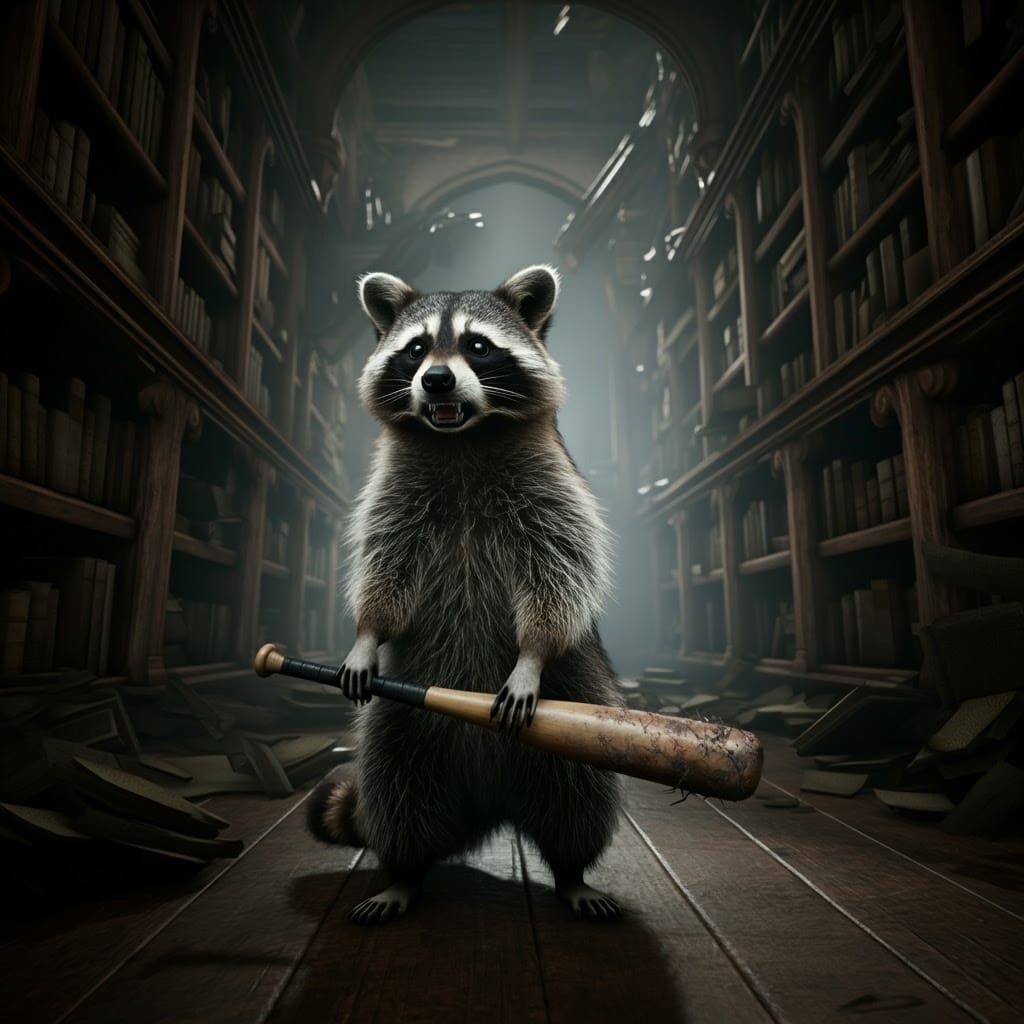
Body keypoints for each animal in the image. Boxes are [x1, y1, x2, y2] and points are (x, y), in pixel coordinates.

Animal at [308, 265, 623, 925]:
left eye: (478, 345)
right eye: (416, 349)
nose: (436, 379)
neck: (460, 438)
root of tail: (488, 804)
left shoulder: (551, 483)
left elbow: (563, 567)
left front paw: (532, 652)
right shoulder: (393, 491)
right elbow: (383, 565)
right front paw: (367, 633)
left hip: (580, 691)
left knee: (579, 795)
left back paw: (572, 872)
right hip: (402, 722)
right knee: (396, 788)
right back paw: (402, 874)